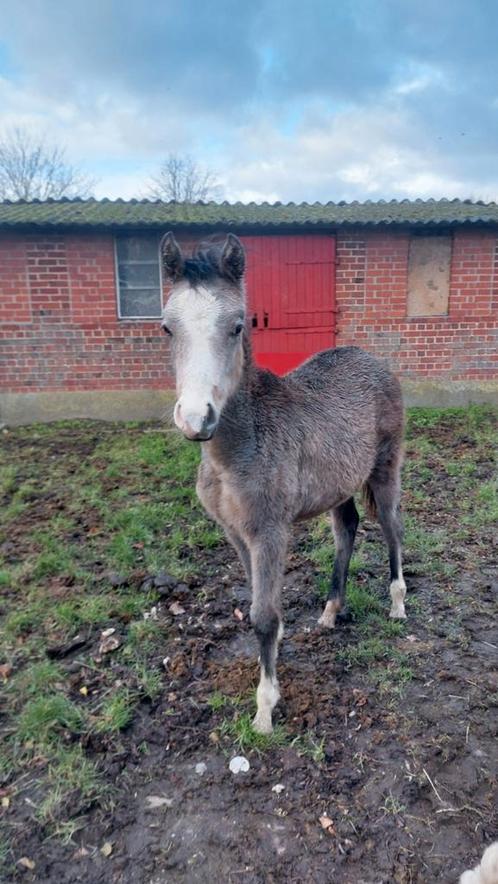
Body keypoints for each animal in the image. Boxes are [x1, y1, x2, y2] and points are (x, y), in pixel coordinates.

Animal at [161, 231, 406, 736]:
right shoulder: (236, 533)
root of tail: (372, 359)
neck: (236, 451)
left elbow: (262, 615)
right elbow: (260, 601)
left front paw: (265, 707)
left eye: (237, 326)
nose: (196, 419)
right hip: (338, 483)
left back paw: (398, 604)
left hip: (385, 469)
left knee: (392, 527)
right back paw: (331, 611)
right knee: (347, 528)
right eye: (167, 329)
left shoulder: (270, 531)